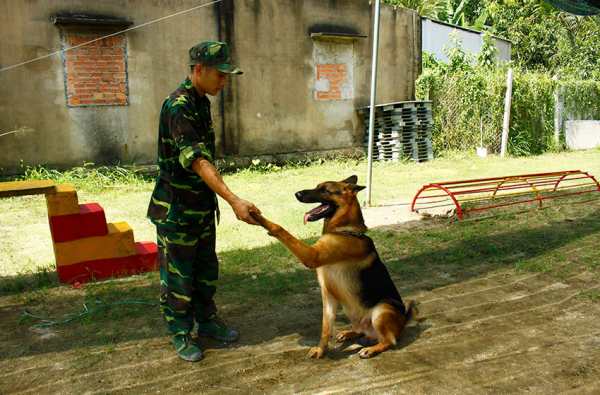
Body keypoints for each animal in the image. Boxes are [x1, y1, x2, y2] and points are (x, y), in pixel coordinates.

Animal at [251, 176, 414, 358]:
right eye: (317, 186)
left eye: (324, 190)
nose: (297, 194)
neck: (344, 231)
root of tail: (403, 322)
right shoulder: (328, 295)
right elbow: (325, 328)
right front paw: (321, 350)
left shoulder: (311, 256)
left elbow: (280, 228)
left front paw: (258, 218)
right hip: (355, 314)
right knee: (362, 330)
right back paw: (349, 333)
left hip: (381, 310)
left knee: (389, 341)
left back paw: (372, 349)